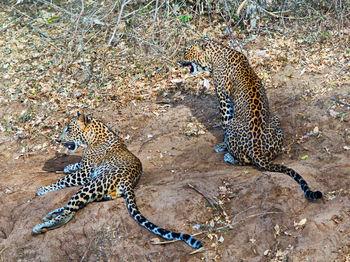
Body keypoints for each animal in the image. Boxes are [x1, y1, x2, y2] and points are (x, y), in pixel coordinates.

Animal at [33, 111, 202, 249]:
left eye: (68, 128)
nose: (58, 139)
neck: (92, 136)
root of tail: (128, 181)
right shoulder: (84, 169)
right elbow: (75, 166)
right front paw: (68, 166)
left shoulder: (85, 173)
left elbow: (62, 180)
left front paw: (43, 189)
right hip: (97, 192)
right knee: (73, 206)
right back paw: (50, 215)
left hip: (92, 183)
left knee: (69, 212)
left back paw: (42, 226)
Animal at [182, 39, 322, 200]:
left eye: (186, 52)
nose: (179, 61)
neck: (214, 56)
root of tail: (256, 148)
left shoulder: (224, 100)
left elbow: (225, 122)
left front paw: (222, 144)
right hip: (275, 120)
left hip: (235, 128)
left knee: (244, 160)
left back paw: (228, 156)